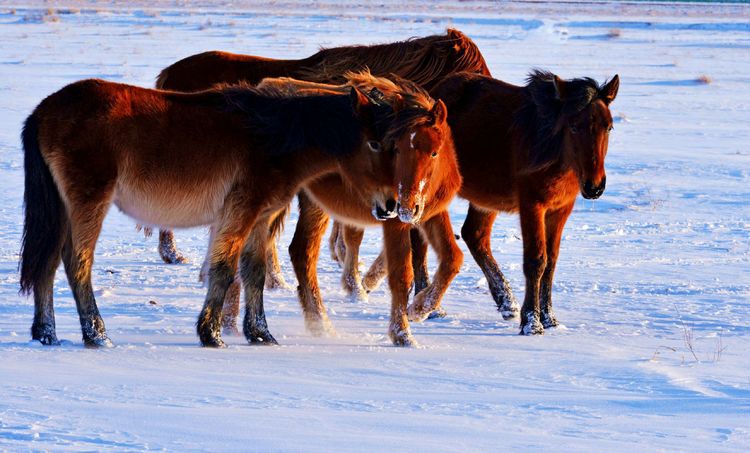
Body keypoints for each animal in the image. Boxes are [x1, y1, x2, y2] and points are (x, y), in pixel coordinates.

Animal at [19, 76, 434, 348]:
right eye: (376, 143)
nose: (392, 206)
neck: (273, 135)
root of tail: (44, 110)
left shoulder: (261, 217)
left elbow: (254, 272)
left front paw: (261, 334)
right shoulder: (241, 210)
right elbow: (223, 268)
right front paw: (212, 334)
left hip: (63, 208)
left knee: (48, 261)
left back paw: (46, 333)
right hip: (90, 202)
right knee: (77, 262)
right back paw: (97, 335)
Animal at [197, 72, 464, 344]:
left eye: (434, 152)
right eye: (396, 149)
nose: (406, 205)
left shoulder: (431, 214)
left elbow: (453, 258)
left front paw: (420, 309)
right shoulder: (394, 222)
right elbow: (401, 275)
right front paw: (403, 335)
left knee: (296, 252)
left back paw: (314, 324)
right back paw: (232, 326)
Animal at [338, 69, 620, 332]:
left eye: (608, 127)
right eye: (573, 126)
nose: (595, 186)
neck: (551, 149)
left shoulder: (561, 209)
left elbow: (551, 261)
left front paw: (549, 318)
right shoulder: (532, 204)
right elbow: (536, 260)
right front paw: (531, 322)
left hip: (485, 199)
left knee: (474, 235)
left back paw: (505, 302)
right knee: (422, 243)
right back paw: (432, 304)